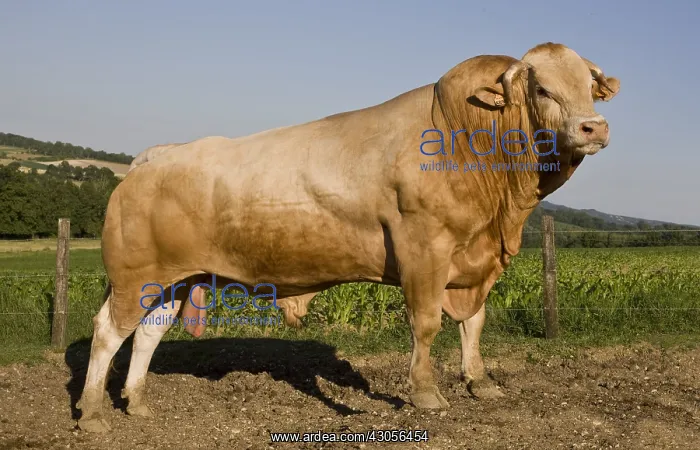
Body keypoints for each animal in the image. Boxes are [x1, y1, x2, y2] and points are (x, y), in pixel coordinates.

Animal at [76, 42, 619, 432]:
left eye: (589, 87)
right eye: (543, 90)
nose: (594, 128)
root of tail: (154, 157)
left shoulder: (474, 263)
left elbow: (474, 323)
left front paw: (480, 381)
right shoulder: (425, 249)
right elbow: (426, 323)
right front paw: (426, 393)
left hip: (175, 280)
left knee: (147, 334)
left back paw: (137, 403)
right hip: (135, 277)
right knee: (108, 332)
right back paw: (94, 413)